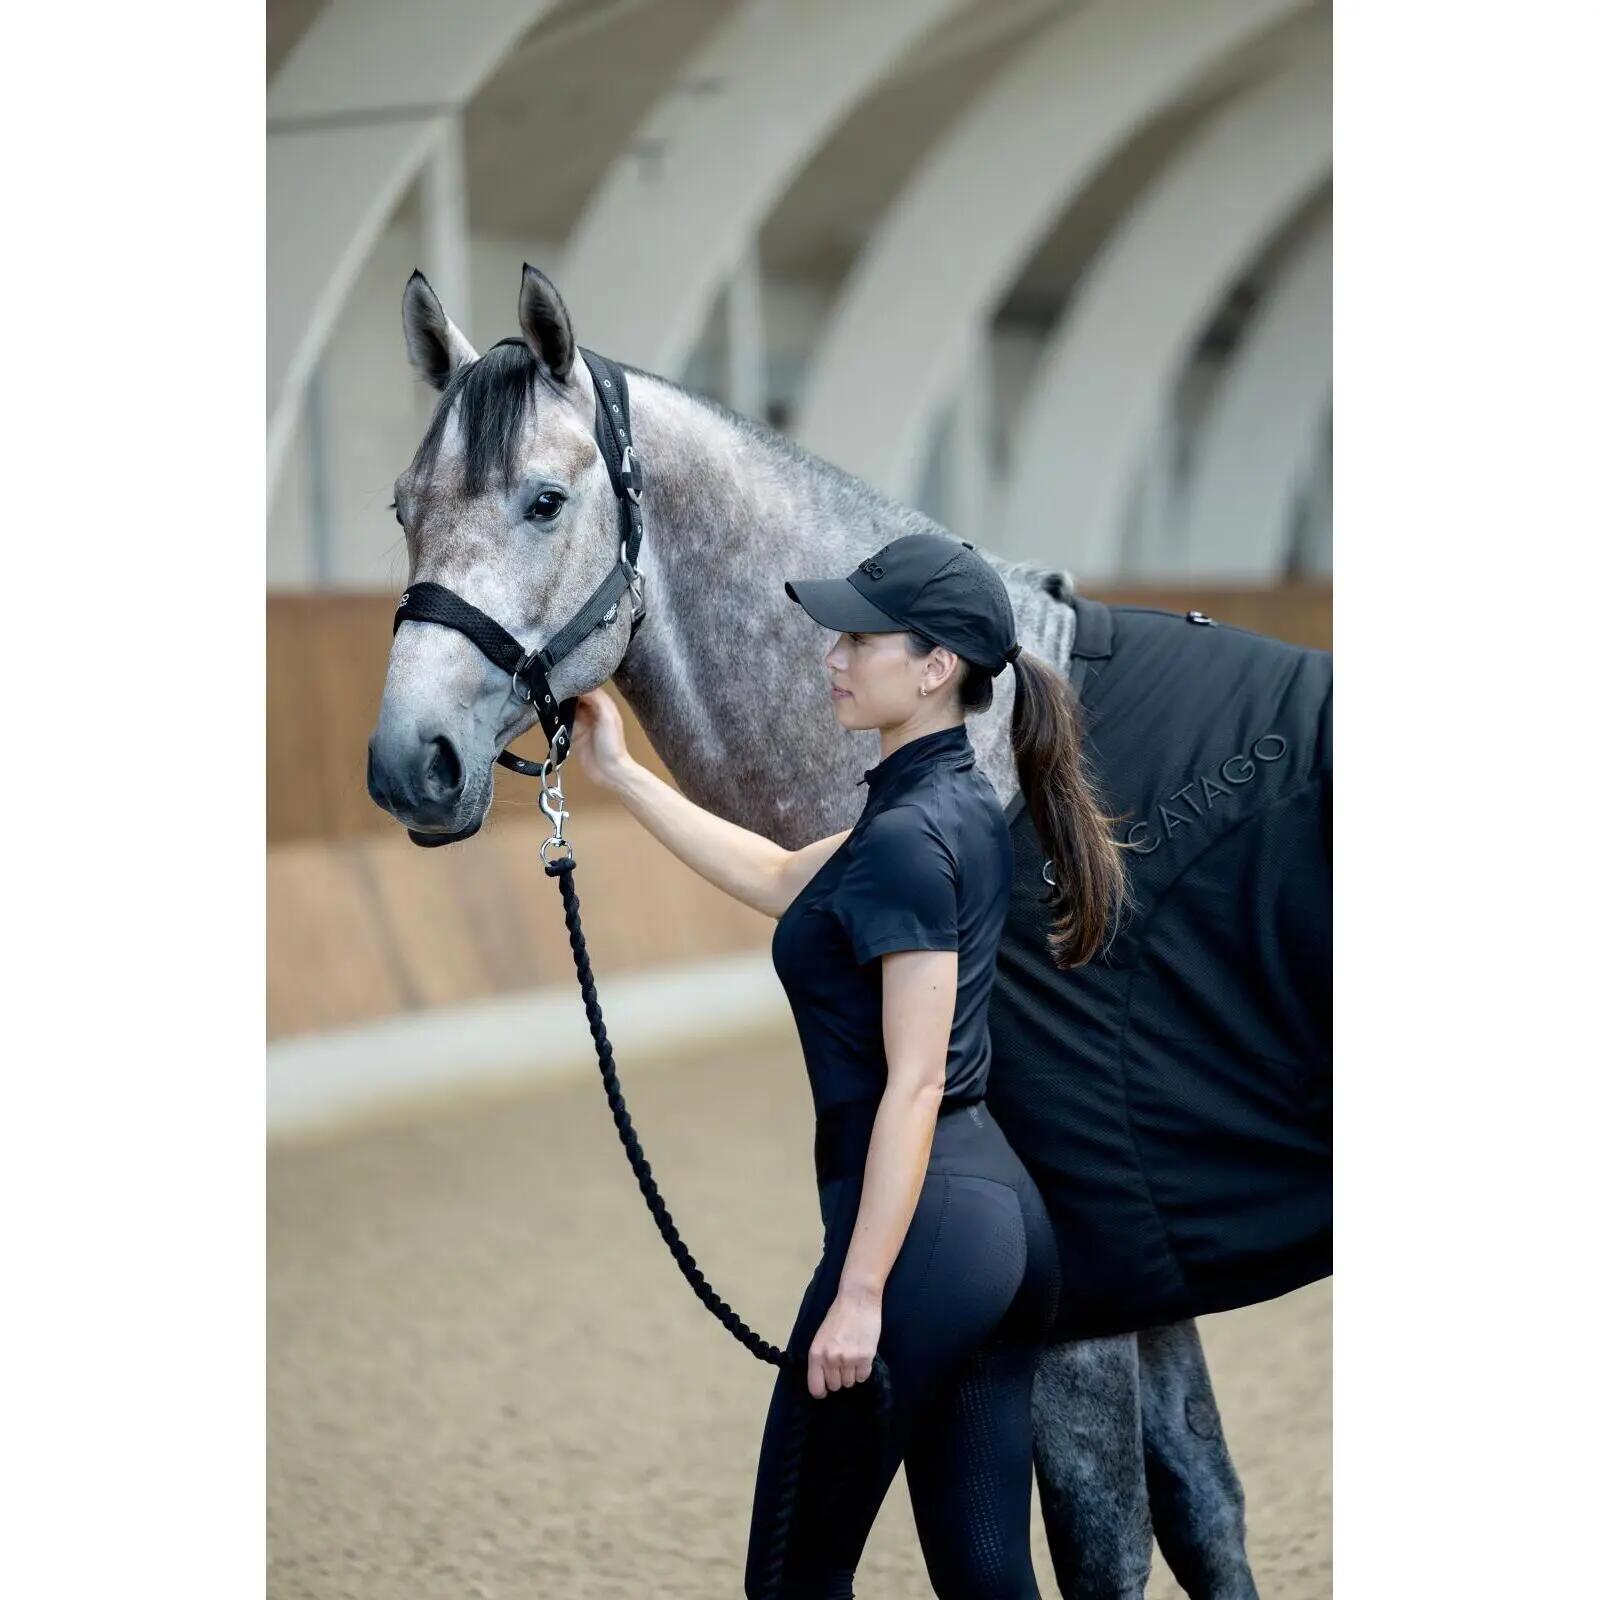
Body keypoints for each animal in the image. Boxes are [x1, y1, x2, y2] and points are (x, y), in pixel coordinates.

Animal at [367, 263, 1324, 1599]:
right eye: (402, 508)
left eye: (542, 500)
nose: (411, 764)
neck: (995, 760)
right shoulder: (1150, 1261)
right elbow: (1205, 1507)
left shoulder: (1083, 1303)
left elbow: (1106, 1536)